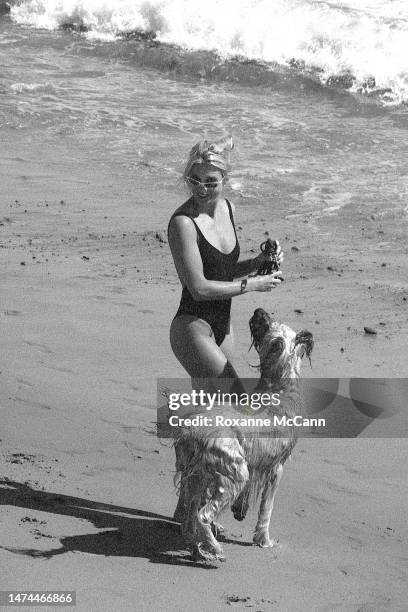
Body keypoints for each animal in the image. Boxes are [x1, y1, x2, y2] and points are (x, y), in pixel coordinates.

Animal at [172, 308, 312, 560]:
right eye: (268, 324)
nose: (259, 311)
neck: (278, 386)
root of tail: (190, 431)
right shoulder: (276, 468)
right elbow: (267, 508)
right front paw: (264, 540)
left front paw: (241, 510)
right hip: (234, 472)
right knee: (203, 515)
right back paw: (215, 549)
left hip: (198, 475)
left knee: (190, 514)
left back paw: (199, 549)